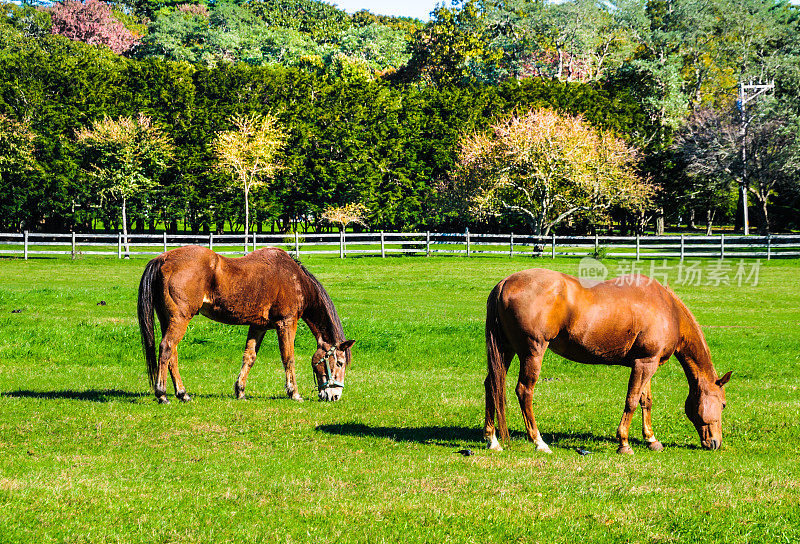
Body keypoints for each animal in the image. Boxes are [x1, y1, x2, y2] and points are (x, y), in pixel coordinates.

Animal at [137, 246, 354, 404]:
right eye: (340, 363)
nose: (335, 396)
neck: (295, 278)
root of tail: (163, 259)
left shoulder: (258, 326)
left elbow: (249, 357)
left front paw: (240, 391)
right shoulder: (287, 323)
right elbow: (288, 358)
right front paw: (294, 393)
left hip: (168, 320)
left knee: (171, 354)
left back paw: (182, 393)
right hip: (180, 319)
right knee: (166, 348)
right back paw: (162, 394)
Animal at [484, 268, 736, 454]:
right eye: (723, 404)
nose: (715, 443)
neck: (667, 308)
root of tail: (505, 282)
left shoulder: (647, 362)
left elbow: (646, 401)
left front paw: (651, 440)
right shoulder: (644, 364)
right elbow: (631, 401)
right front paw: (624, 443)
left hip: (506, 350)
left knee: (492, 385)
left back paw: (492, 439)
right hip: (532, 352)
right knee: (524, 390)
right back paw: (539, 442)